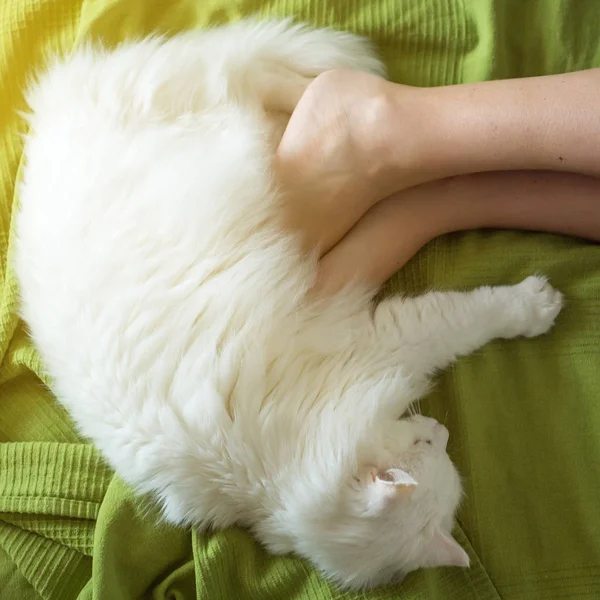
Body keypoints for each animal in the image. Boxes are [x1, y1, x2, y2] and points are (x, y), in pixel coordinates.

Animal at [15, 19, 568, 592]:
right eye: (427, 448)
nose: (442, 431)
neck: (272, 468)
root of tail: (58, 98)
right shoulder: (386, 335)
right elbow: (470, 317)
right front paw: (534, 306)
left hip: (219, 103)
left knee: (267, 75)